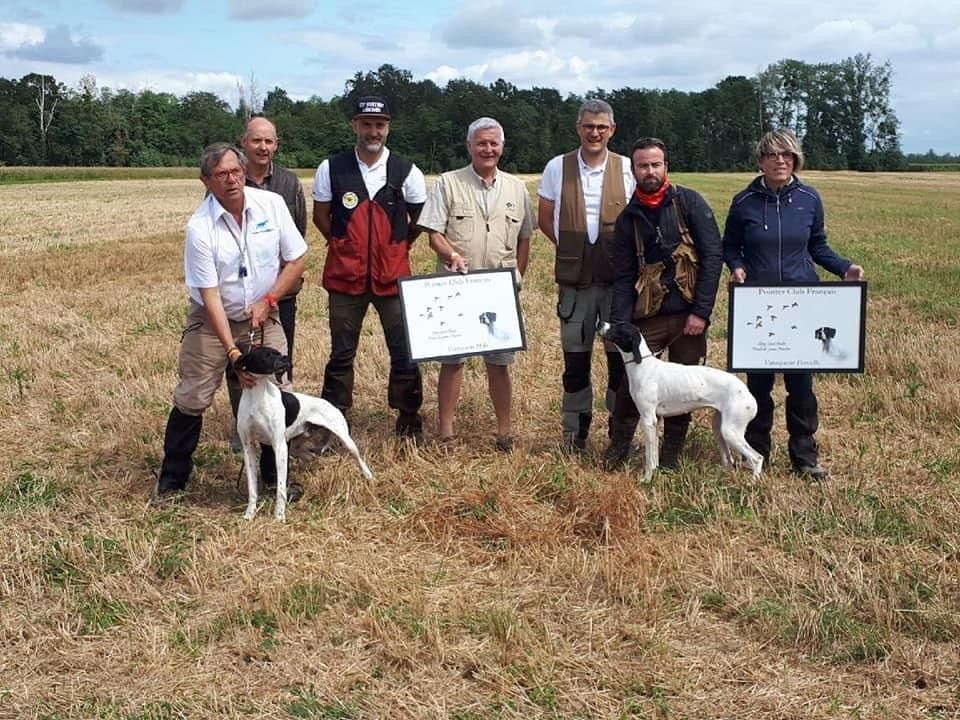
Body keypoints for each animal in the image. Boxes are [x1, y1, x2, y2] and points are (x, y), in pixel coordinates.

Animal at [231, 346, 374, 520]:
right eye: (267, 355)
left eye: (278, 353)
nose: (286, 358)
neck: (258, 395)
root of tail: (331, 405)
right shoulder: (249, 447)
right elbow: (252, 489)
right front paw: (250, 513)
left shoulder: (279, 446)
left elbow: (281, 489)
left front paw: (279, 516)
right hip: (296, 443)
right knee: (307, 454)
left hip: (345, 440)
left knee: (359, 458)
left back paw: (368, 476)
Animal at [600, 324, 764, 480]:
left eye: (618, 327)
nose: (600, 323)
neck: (643, 366)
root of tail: (748, 394)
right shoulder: (656, 421)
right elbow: (654, 457)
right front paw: (656, 475)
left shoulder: (648, 420)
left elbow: (649, 458)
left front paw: (647, 480)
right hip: (719, 428)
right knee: (729, 460)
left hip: (730, 432)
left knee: (757, 458)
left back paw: (752, 482)